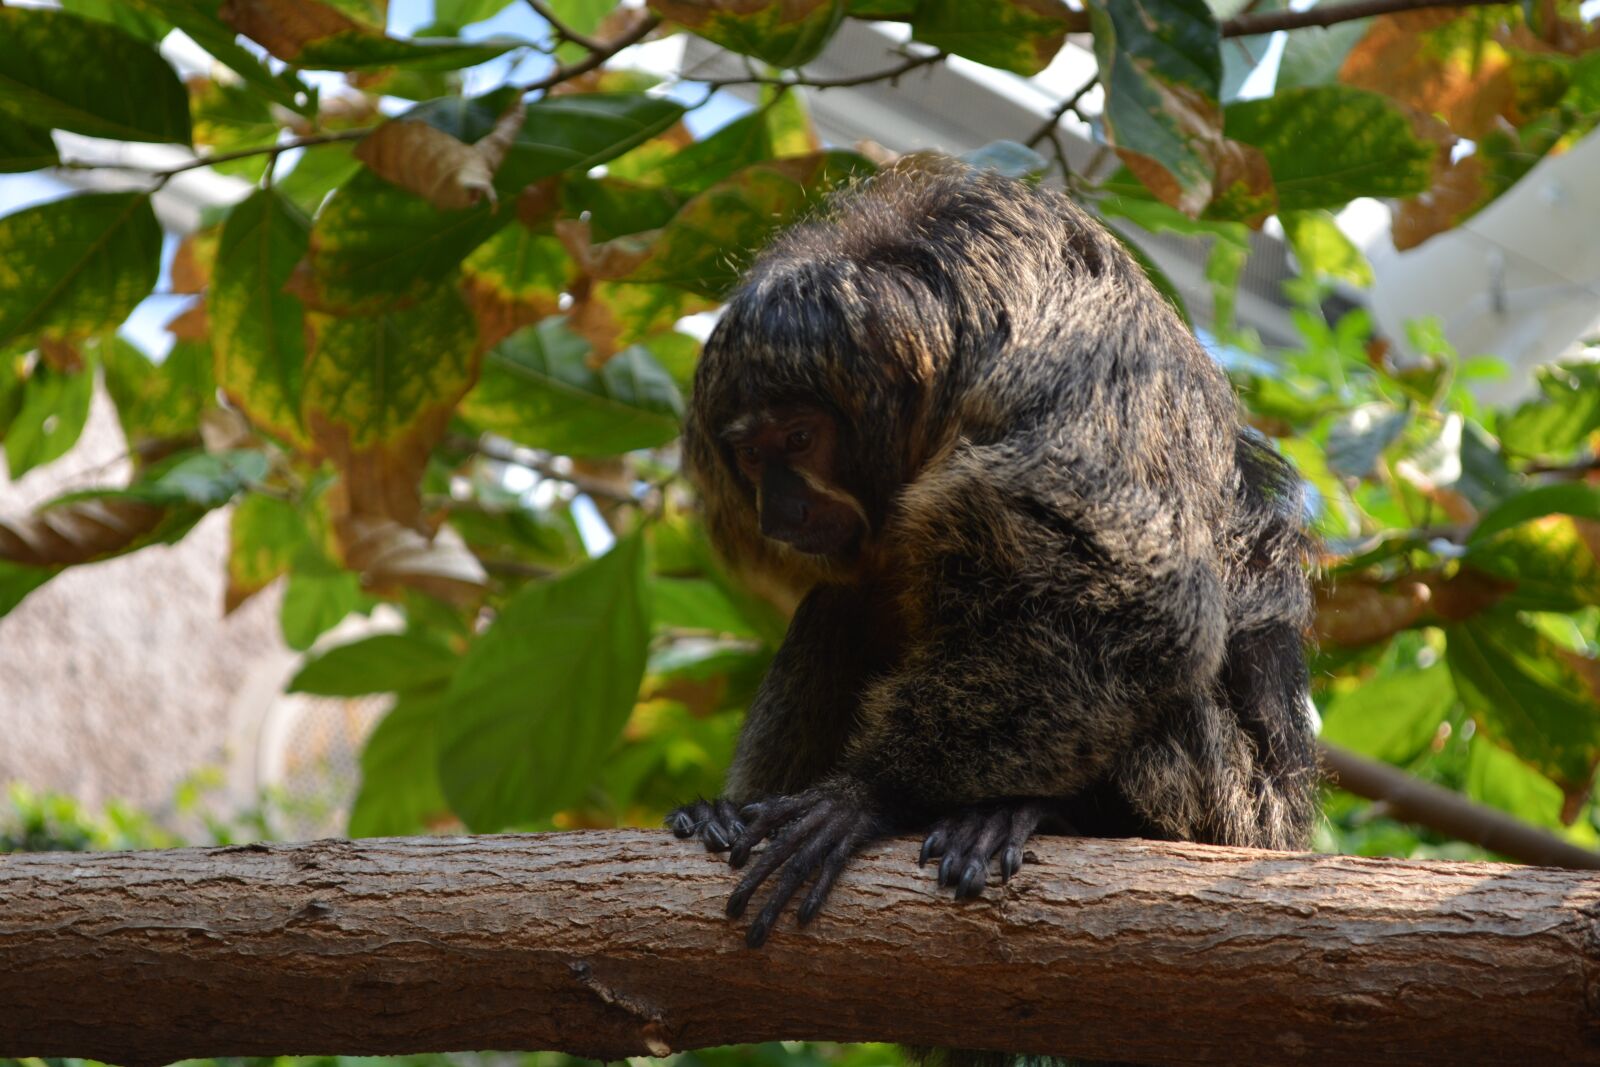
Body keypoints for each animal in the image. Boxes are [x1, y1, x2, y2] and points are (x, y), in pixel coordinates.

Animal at [667, 164, 1318, 954]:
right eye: (752, 457)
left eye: (798, 439)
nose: (780, 511)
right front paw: (731, 809)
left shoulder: (1070, 367)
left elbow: (1139, 599)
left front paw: (869, 792)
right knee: (842, 605)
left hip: (1223, 803)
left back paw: (1034, 811)